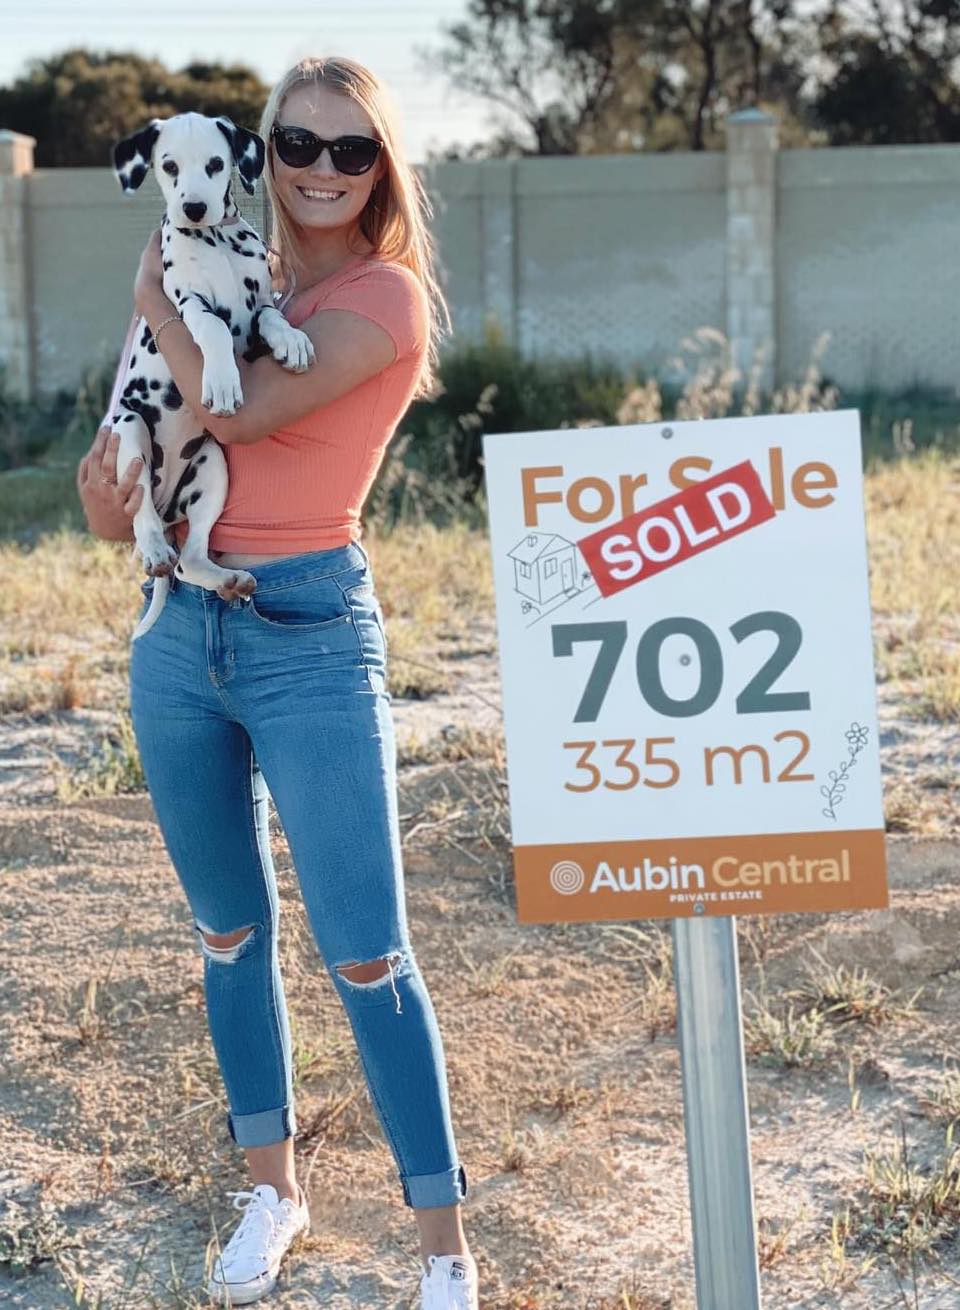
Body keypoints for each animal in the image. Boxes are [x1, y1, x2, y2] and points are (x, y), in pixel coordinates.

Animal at [110, 115, 314, 636]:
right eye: (168, 166)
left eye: (217, 163)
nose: (195, 208)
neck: (218, 241)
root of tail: (167, 507)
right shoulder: (189, 306)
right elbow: (216, 328)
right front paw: (222, 383)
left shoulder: (258, 306)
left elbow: (272, 317)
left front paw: (292, 342)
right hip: (131, 434)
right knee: (144, 514)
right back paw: (154, 547)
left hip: (212, 470)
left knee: (191, 558)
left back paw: (226, 579)